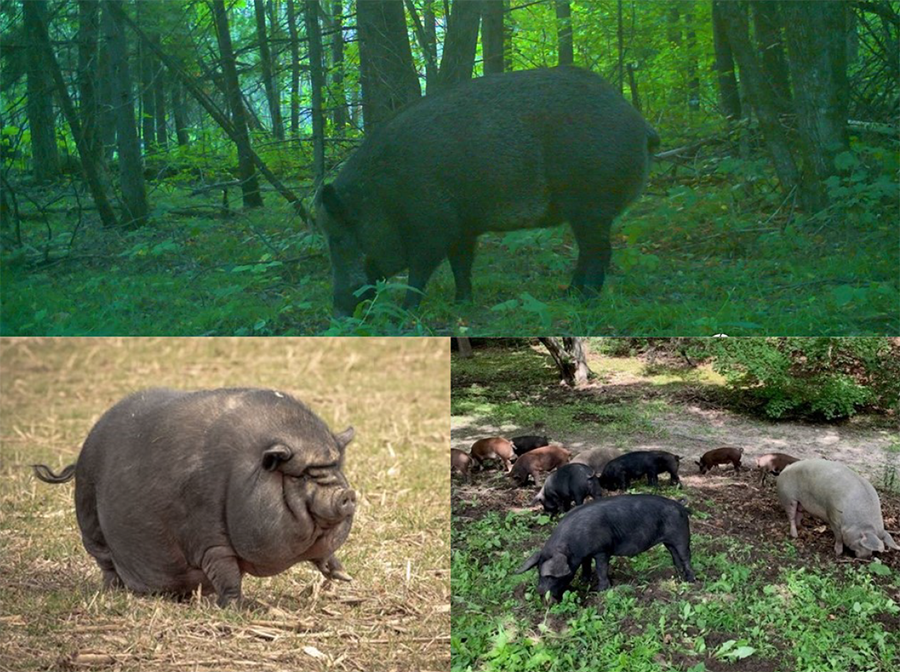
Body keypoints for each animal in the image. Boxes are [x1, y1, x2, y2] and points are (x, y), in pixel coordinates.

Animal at [31, 388, 356, 606]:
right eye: (303, 475)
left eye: (335, 466)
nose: (347, 494)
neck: (240, 476)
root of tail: (80, 457)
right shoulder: (209, 539)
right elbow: (227, 575)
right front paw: (237, 608)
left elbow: (324, 555)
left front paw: (345, 578)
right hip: (89, 517)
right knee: (105, 562)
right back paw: (113, 591)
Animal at [316, 66, 660, 316]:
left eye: (338, 238)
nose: (337, 311)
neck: (383, 197)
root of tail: (640, 123)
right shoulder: (462, 228)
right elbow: (461, 265)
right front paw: (461, 305)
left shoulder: (433, 228)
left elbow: (420, 273)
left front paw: (405, 314)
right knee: (588, 252)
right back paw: (570, 296)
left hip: (592, 203)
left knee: (599, 251)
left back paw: (586, 300)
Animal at [516, 495, 696, 600]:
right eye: (538, 571)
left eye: (550, 576)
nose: (540, 592)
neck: (572, 546)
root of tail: (681, 506)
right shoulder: (586, 554)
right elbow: (586, 566)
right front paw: (584, 581)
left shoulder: (602, 550)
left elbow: (601, 569)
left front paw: (601, 590)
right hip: (669, 542)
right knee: (675, 555)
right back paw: (677, 576)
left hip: (681, 536)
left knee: (686, 556)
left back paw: (691, 580)